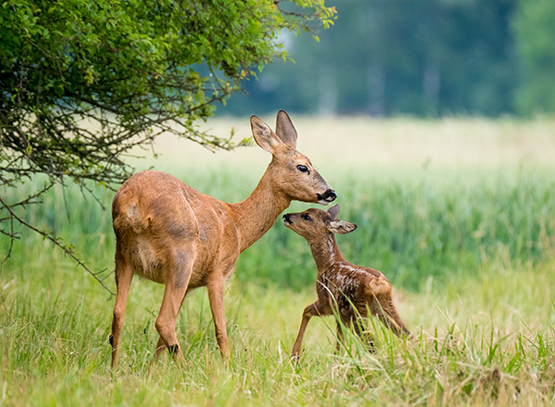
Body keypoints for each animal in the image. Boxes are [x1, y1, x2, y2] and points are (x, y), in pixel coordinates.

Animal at [107, 110, 334, 368]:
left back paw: (114, 370)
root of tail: (135, 202)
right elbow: (221, 329)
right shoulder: (218, 272)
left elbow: (160, 343)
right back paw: (185, 369)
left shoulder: (192, 283)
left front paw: (152, 370)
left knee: (119, 313)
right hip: (180, 254)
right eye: (302, 167)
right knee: (163, 320)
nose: (331, 193)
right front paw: (229, 367)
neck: (237, 225)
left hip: (123, 254)